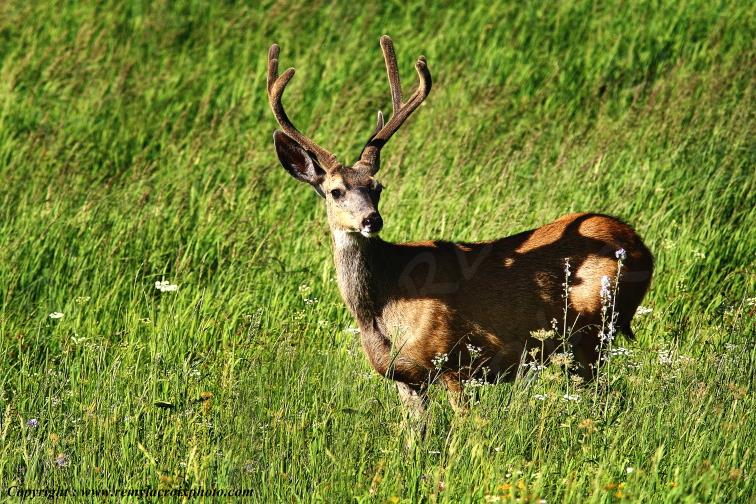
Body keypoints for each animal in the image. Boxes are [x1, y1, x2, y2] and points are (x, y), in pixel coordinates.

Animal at [266, 36, 653, 419]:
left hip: (593, 332)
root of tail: (639, 246)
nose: (371, 220)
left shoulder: (456, 361)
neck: (384, 304)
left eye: (377, 187)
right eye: (335, 191)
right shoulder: (406, 378)